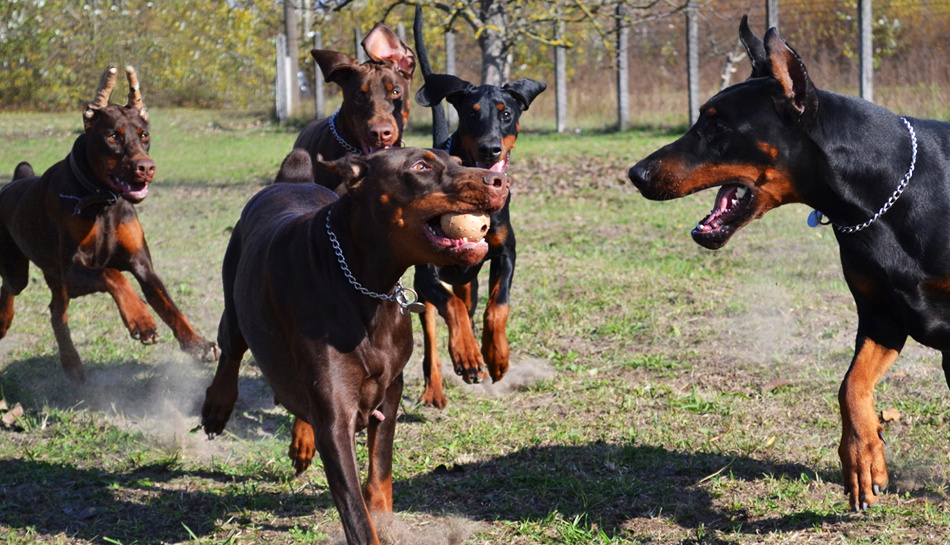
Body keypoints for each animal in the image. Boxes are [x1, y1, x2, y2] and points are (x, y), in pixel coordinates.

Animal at [1, 67, 219, 382]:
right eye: (114, 136)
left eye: (144, 135)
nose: (146, 167)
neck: (103, 202)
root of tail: (15, 182)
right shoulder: (73, 270)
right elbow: (114, 274)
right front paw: (141, 320)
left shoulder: (142, 265)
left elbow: (169, 304)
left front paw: (197, 344)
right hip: (22, 269)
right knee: (11, 288)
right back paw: (5, 322)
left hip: (55, 278)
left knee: (56, 310)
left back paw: (72, 363)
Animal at [203, 146, 512, 544]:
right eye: (420, 166)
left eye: (457, 161)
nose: (502, 180)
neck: (365, 285)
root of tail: (292, 180)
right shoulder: (337, 421)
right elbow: (355, 513)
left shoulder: (389, 391)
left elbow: (379, 476)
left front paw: (385, 519)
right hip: (235, 302)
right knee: (231, 349)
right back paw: (216, 407)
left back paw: (302, 439)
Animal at [410, 6, 552, 406]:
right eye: (472, 113)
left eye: (506, 113)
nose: (490, 148)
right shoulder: (425, 273)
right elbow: (451, 310)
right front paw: (468, 356)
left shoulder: (505, 253)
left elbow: (498, 306)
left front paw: (497, 357)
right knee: (433, 333)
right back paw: (439, 385)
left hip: (468, 280)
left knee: (471, 306)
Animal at [628, 15, 950, 510]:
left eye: (718, 126)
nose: (636, 174)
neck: (882, 195)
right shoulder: (882, 317)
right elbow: (850, 386)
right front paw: (863, 457)